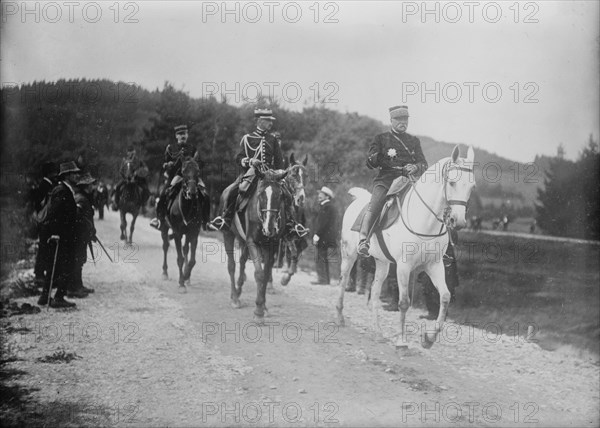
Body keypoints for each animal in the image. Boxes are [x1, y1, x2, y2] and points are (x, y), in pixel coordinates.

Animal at [162, 154, 206, 290]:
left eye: (198, 171)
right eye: (183, 171)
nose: (192, 192)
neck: (187, 208)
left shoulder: (194, 233)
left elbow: (192, 260)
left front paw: (186, 276)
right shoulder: (177, 233)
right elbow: (180, 258)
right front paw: (181, 283)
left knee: (185, 248)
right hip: (165, 227)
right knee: (165, 245)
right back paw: (165, 272)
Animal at [336, 145, 476, 350]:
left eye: (472, 186)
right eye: (451, 182)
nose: (457, 221)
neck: (425, 220)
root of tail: (358, 200)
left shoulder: (434, 266)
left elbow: (445, 296)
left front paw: (429, 339)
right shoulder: (404, 266)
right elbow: (403, 302)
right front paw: (402, 342)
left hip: (382, 263)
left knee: (375, 292)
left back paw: (378, 332)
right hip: (349, 255)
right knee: (343, 280)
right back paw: (339, 317)